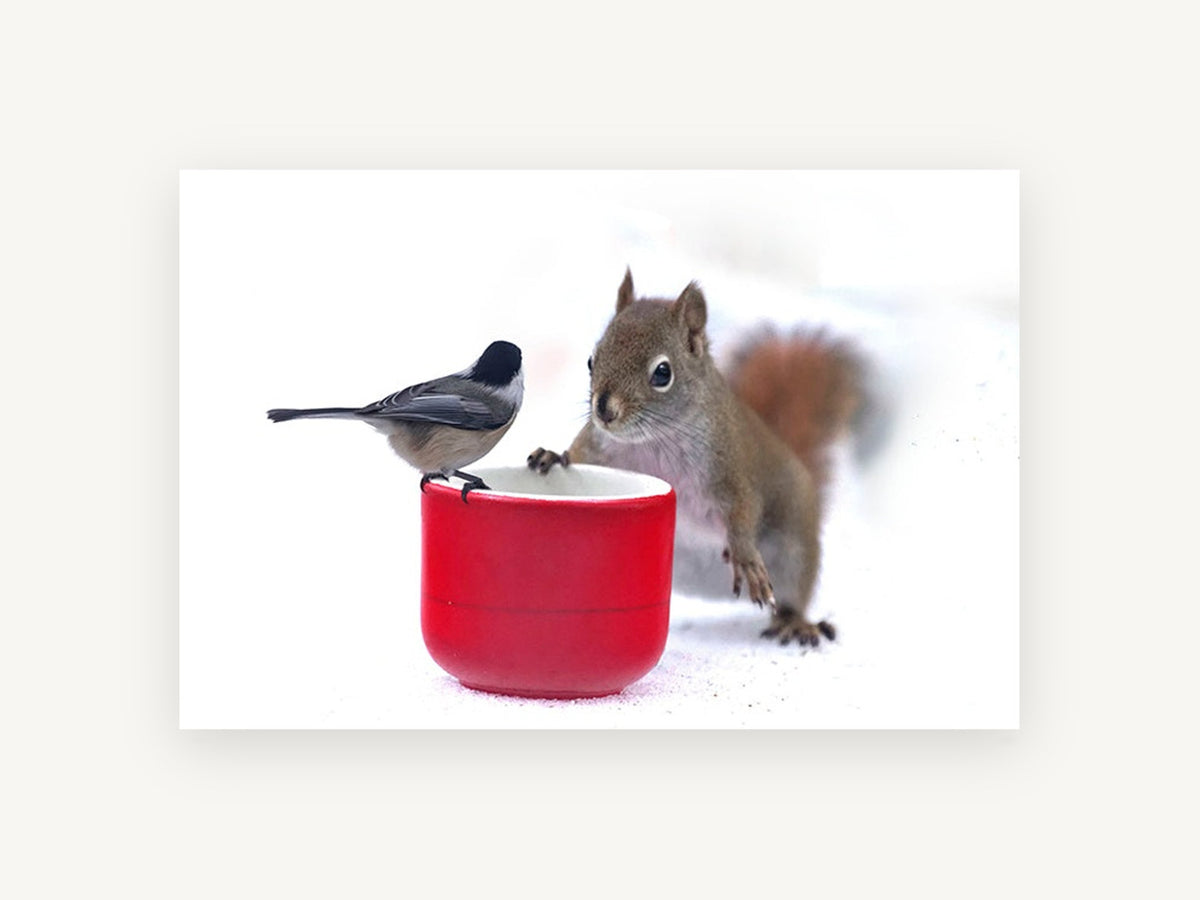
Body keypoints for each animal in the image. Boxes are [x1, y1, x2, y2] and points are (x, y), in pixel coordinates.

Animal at [527, 268, 868, 647]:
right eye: (592, 360)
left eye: (663, 373)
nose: (604, 411)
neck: (653, 442)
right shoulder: (596, 447)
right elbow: (576, 455)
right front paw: (553, 455)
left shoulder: (731, 469)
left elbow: (743, 510)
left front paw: (745, 556)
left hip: (795, 545)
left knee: (794, 593)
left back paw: (795, 623)